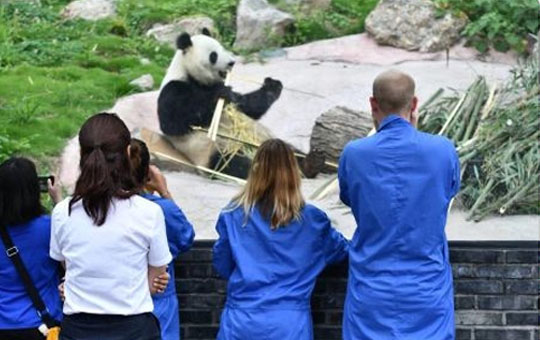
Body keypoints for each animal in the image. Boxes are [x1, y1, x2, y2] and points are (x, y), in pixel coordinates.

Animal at [157, 28, 324, 181]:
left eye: (222, 48)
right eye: (213, 55)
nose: (232, 62)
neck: (194, 78)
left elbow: (247, 106)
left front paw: (272, 86)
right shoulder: (173, 89)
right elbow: (173, 122)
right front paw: (219, 97)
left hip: (264, 139)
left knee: (290, 150)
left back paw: (311, 163)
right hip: (213, 151)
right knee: (233, 164)